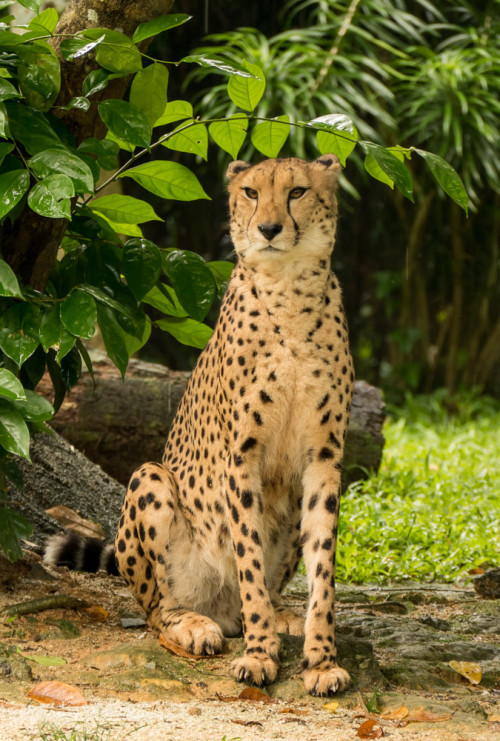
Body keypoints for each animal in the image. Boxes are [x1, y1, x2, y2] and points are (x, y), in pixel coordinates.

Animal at [47, 156, 354, 692]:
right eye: (251, 192)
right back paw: (194, 625)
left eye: (296, 192)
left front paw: (320, 659)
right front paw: (259, 654)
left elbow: (323, 567)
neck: (290, 289)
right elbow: (248, 559)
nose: (268, 228)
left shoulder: (323, 460)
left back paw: (282, 615)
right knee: (155, 609)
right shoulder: (241, 459)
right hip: (150, 479)